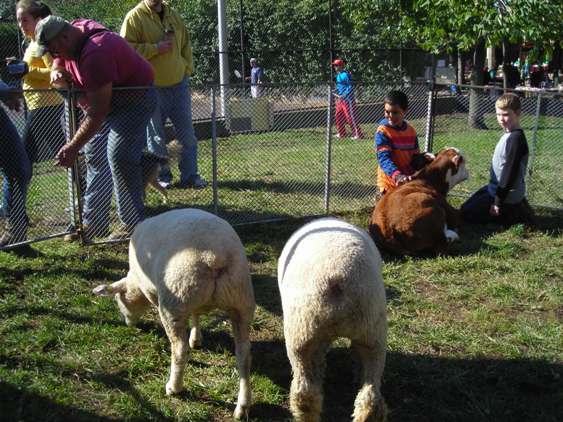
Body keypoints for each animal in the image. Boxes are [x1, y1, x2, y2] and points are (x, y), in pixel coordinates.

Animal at [94, 208, 256, 418]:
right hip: (240, 299)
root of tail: (215, 256)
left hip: (175, 299)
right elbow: (196, 315)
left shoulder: (155, 293)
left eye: (119, 300)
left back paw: (174, 387)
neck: (136, 282)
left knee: (179, 349)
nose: (127, 323)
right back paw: (242, 406)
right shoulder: (192, 303)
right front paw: (196, 339)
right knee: (244, 354)